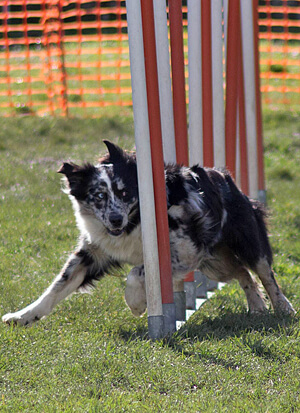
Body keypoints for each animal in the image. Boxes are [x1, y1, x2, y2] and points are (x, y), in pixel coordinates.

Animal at [2, 141, 294, 326]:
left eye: (124, 193)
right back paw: (257, 306)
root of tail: (224, 176)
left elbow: (137, 272)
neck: (135, 220)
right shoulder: (92, 254)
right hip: (216, 264)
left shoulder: (185, 251)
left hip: (246, 243)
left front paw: (136, 304)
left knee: (264, 273)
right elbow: (56, 288)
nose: (115, 219)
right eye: (98, 196)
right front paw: (23, 316)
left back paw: (282, 307)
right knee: (243, 273)